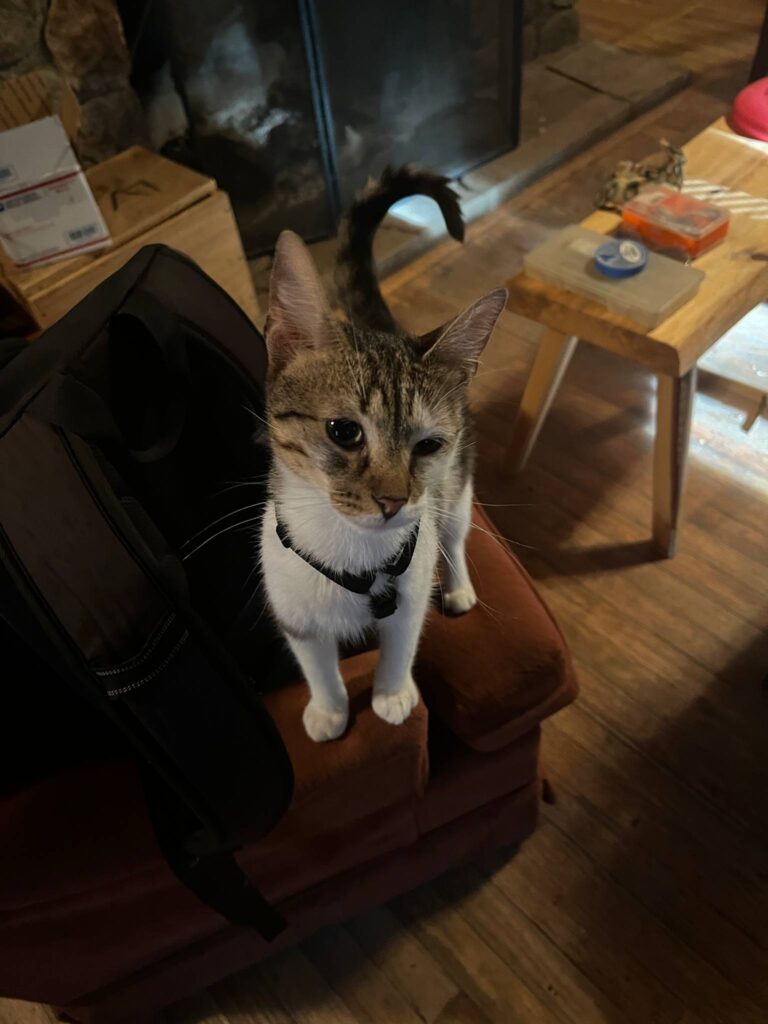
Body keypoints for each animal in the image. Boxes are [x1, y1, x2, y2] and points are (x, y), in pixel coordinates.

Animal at [260, 167, 507, 742]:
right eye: (343, 431)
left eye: (429, 445)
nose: (393, 501)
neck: (350, 554)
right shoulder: (294, 611)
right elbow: (318, 666)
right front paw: (329, 710)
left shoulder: (409, 597)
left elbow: (400, 647)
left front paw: (392, 696)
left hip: (457, 493)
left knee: (456, 537)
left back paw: (459, 587)